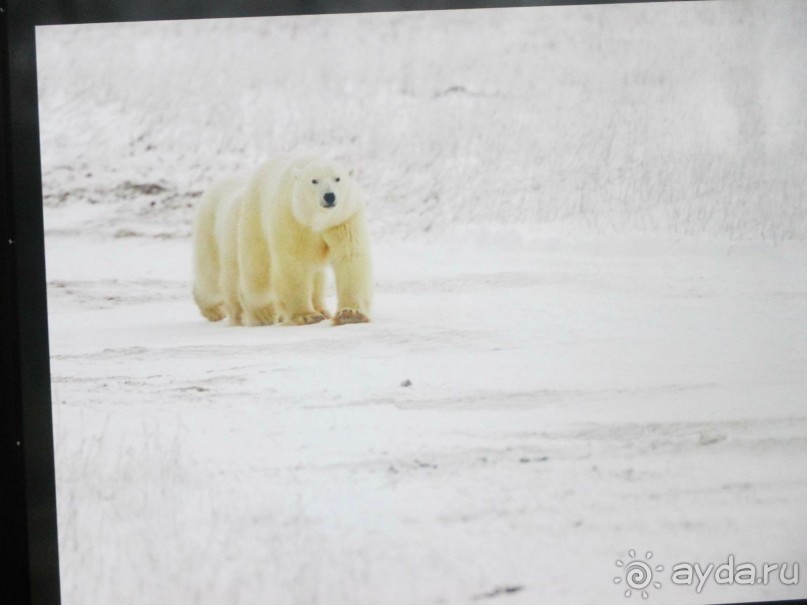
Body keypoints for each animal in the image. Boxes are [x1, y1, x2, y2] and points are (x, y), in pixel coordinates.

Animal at [194, 155, 374, 326]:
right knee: (253, 267)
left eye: (337, 178)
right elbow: (293, 261)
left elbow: (349, 256)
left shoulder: (344, 219)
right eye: (314, 180)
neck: (316, 220)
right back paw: (257, 313)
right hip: (251, 219)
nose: (329, 196)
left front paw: (350, 314)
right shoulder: (291, 218)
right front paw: (306, 316)